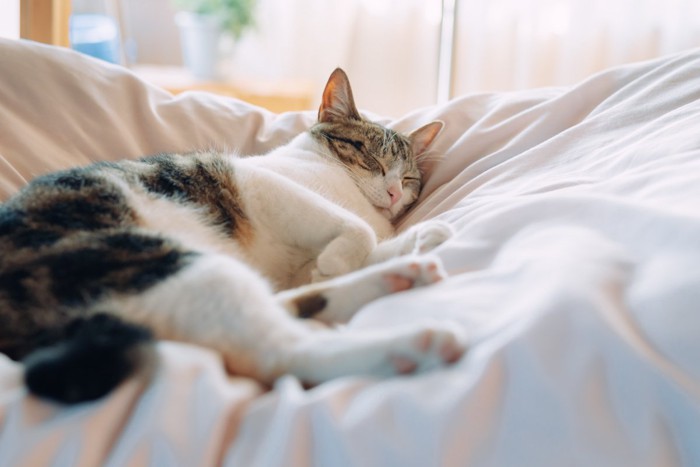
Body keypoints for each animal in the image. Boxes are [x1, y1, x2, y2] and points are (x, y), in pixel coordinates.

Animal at [0, 67, 462, 404]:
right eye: (371, 159)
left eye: (408, 178)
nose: (393, 192)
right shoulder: (263, 187)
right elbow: (358, 232)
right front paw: (338, 260)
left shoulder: (296, 261)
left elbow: (349, 254)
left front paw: (419, 236)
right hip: (154, 260)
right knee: (281, 351)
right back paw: (416, 343)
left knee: (283, 308)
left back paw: (404, 273)